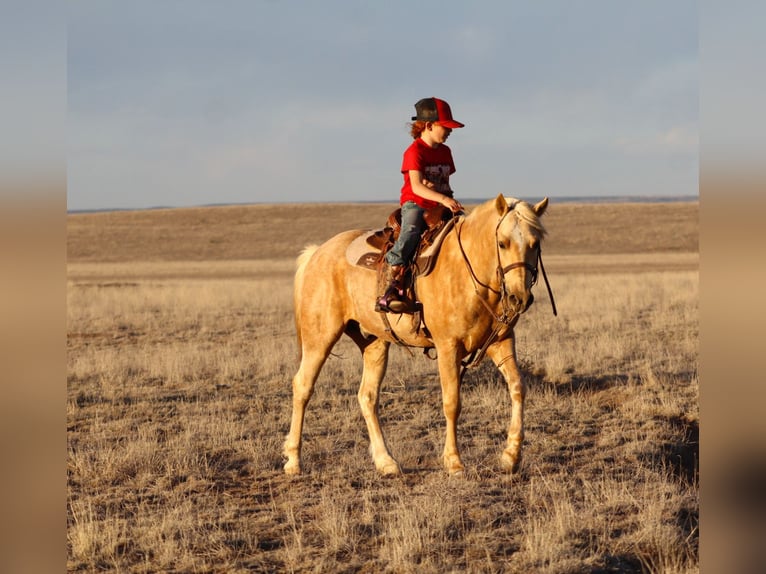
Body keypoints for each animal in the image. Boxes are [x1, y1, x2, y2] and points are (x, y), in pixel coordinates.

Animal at [283, 194, 550, 476]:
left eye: (535, 244)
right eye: (502, 243)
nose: (519, 298)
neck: (468, 272)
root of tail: (317, 253)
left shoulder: (501, 342)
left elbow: (517, 388)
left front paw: (511, 456)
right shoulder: (448, 347)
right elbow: (452, 402)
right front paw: (454, 461)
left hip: (374, 343)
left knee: (368, 396)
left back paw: (386, 462)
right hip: (320, 337)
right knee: (303, 386)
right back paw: (293, 460)